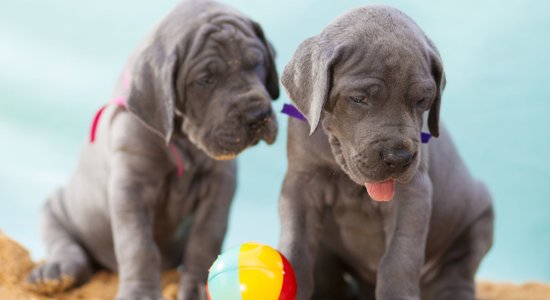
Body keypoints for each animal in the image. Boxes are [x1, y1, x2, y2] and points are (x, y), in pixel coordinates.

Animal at [26, 0, 280, 300]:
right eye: (205, 80)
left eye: (258, 63)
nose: (258, 116)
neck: (182, 140)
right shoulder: (130, 187)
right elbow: (138, 246)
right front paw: (140, 293)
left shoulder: (220, 185)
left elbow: (206, 238)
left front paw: (197, 287)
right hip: (55, 209)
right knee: (68, 247)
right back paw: (54, 273)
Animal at [280, 5, 496, 300]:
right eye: (358, 99)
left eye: (423, 101)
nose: (399, 158)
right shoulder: (301, 183)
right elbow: (295, 247)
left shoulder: (413, 194)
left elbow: (399, 258)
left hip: (477, 222)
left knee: (456, 275)